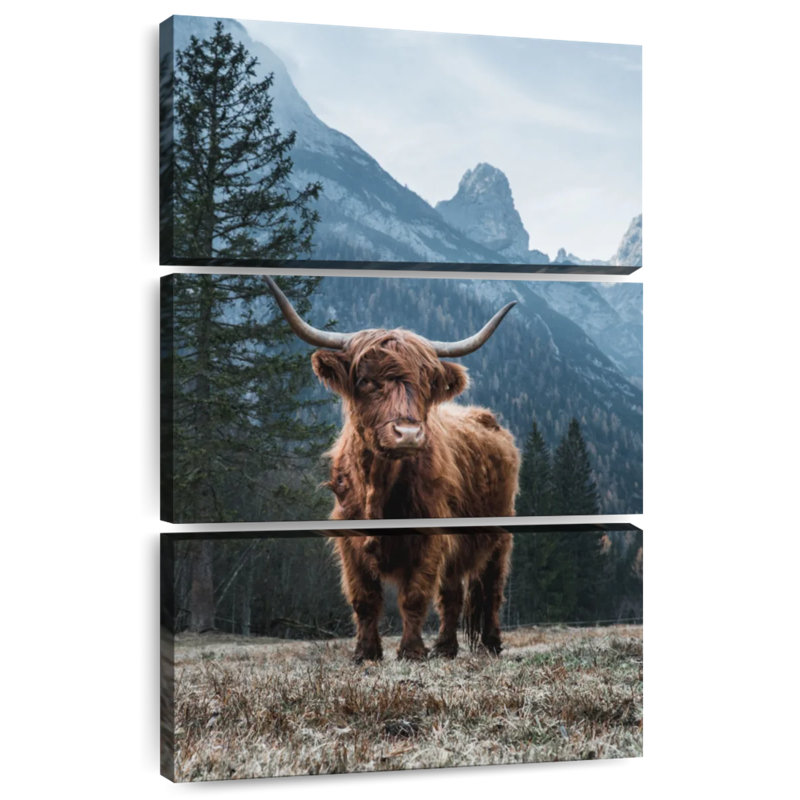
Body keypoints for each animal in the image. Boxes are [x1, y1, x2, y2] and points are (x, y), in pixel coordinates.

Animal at [263, 276, 520, 661]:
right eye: (367, 381)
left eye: (426, 383)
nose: (409, 433)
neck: (378, 488)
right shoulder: (349, 543)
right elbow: (364, 599)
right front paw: (365, 652)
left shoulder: (430, 537)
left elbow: (414, 597)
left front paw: (411, 651)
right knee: (452, 594)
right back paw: (446, 648)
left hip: (499, 535)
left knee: (491, 588)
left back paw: (489, 643)